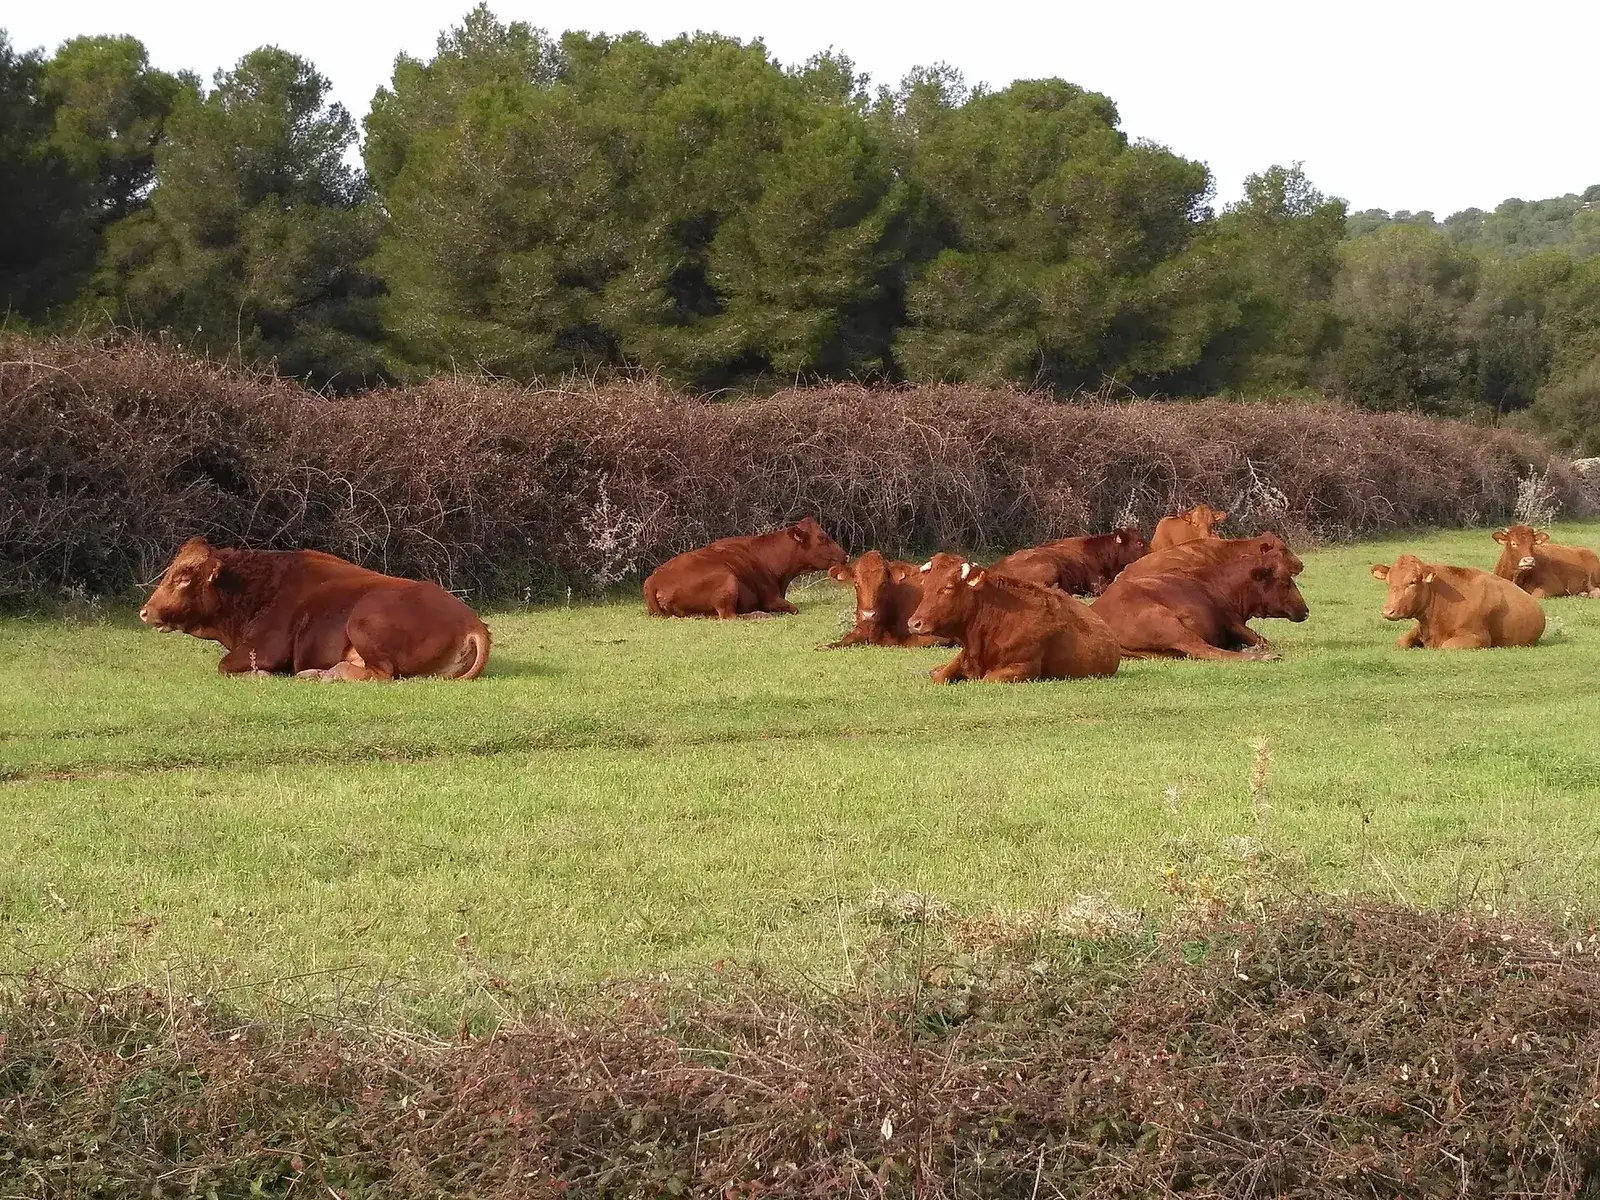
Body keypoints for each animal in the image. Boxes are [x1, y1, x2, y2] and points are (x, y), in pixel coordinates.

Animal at [139, 537, 491, 681]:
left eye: (184, 577)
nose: (145, 611)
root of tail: (469, 621)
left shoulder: (264, 648)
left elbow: (226, 666)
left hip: (362, 620)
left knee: (380, 674)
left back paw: (324, 674)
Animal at [643, 517, 847, 618]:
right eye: (822, 538)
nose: (845, 555)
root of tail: (653, 579)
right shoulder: (772, 598)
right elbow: (793, 608)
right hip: (728, 579)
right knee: (729, 615)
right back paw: (760, 614)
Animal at [904, 552, 1120, 683]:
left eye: (948, 587)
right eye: (926, 585)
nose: (914, 623)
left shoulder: (1024, 668)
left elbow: (987, 679)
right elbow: (940, 677)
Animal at [1092, 550, 1309, 661]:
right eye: (1284, 582)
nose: (1306, 611)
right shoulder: (1233, 623)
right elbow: (1261, 639)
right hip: (1166, 623)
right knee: (1204, 650)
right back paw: (1262, 656)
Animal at [1371, 555, 1544, 649]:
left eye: (1412, 582)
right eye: (1388, 582)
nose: (1388, 611)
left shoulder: (1478, 638)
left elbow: (1446, 646)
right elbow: (1400, 642)